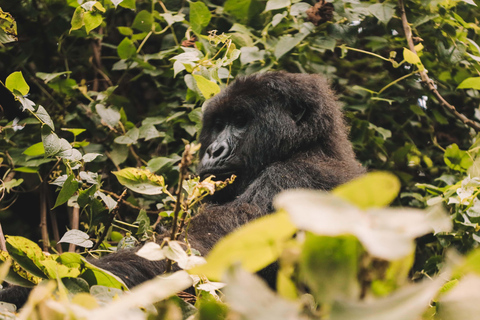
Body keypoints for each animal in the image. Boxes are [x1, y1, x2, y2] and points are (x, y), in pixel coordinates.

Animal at [0, 72, 364, 308]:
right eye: (218, 125)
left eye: (241, 121)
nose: (213, 150)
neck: (310, 146)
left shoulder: (291, 180)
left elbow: (201, 252)